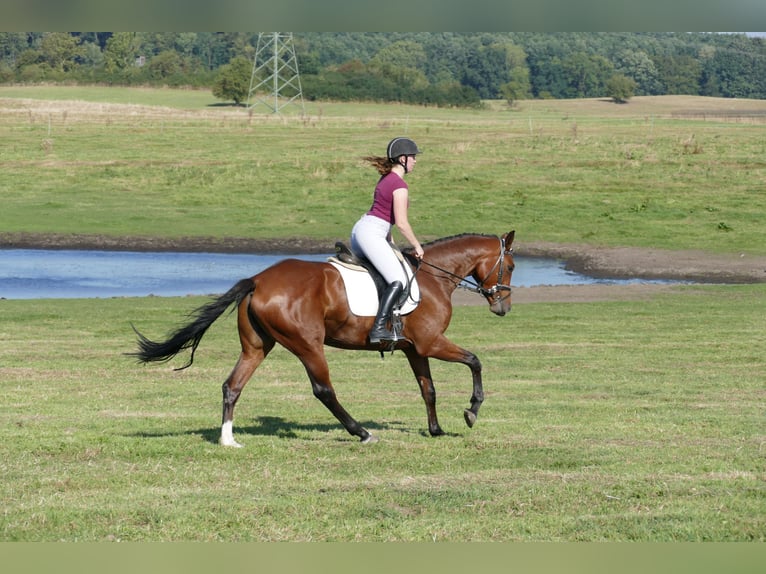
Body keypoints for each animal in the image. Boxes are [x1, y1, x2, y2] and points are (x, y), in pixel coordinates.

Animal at [130, 232, 516, 448]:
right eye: (510, 266)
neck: (436, 277)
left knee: (232, 385)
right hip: (308, 344)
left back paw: (228, 440)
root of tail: (258, 279)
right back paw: (361, 433)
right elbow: (475, 361)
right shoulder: (431, 343)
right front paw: (472, 411)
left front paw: (436, 430)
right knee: (324, 390)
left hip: (257, 346)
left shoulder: (414, 349)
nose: (504, 306)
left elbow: (428, 389)